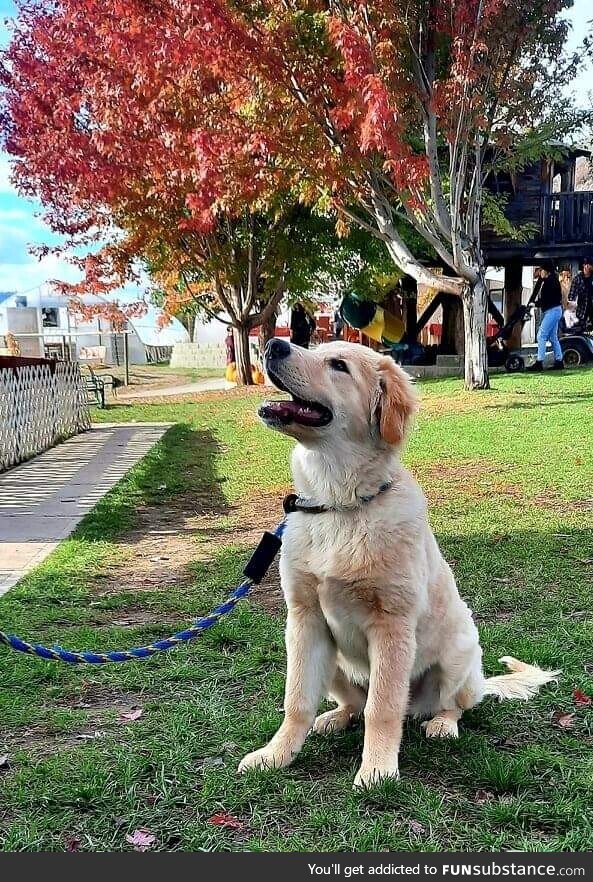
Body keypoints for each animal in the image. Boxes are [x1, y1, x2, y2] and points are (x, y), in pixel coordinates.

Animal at [238, 336, 556, 784]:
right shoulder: (304, 620)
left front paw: (377, 770)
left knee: (451, 705)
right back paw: (335, 717)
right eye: (313, 347)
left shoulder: (391, 625)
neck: (339, 504)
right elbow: (297, 700)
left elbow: (383, 707)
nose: (272, 344)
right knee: (353, 704)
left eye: (338, 365)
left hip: (459, 654)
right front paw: (276, 754)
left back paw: (441, 723)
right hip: (334, 661)